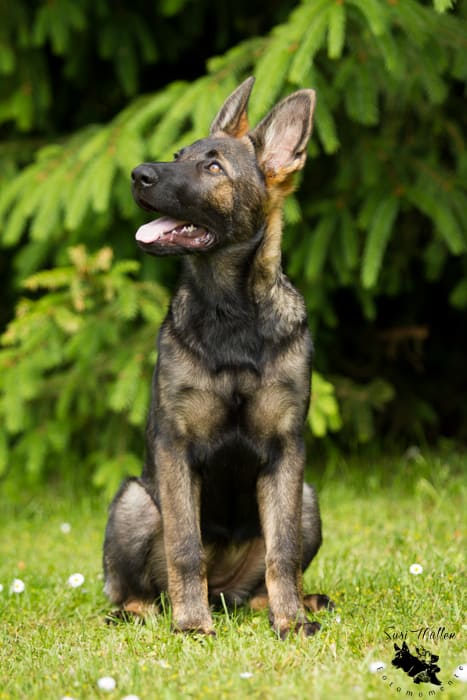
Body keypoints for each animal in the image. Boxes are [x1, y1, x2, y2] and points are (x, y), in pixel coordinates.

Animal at [103, 77, 331, 638]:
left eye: (213, 168)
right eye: (177, 155)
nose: (138, 175)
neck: (231, 313)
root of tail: (224, 591)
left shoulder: (286, 450)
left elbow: (283, 552)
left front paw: (289, 621)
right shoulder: (176, 447)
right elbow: (185, 548)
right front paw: (191, 624)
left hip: (308, 497)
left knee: (267, 574)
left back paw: (290, 603)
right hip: (135, 501)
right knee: (135, 589)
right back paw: (144, 612)